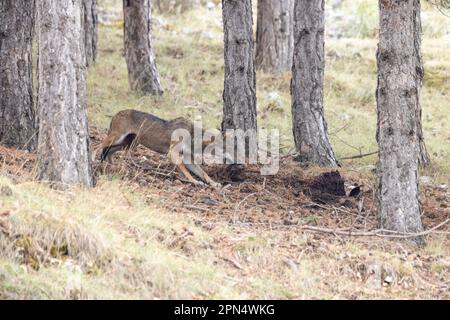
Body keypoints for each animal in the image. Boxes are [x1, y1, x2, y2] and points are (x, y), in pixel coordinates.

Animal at [93, 109, 223, 188]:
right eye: (223, 148)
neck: (192, 134)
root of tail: (116, 114)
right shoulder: (172, 153)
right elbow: (186, 172)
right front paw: (194, 181)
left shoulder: (188, 159)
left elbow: (203, 173)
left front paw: (213, 183)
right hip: (117, 139)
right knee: (97, 146)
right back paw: (94, 159)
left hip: (127, 144)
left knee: (108, 152)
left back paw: (111, 165)